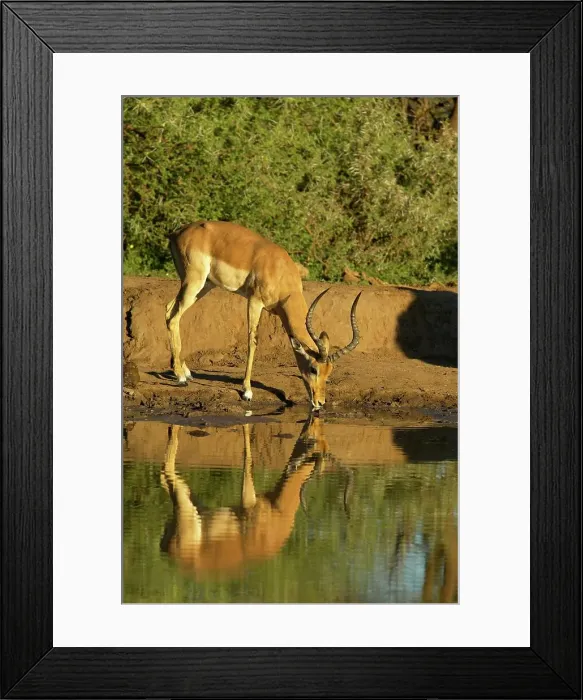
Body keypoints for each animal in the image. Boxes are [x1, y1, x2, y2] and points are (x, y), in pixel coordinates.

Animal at [159, 415, 329, 579]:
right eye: (313, 436)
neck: (279, 513)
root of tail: (167, 549)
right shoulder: (249, 503)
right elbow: (248, 457)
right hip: (188, 510)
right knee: (167, 465)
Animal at [165, 221, 362, 410]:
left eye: (329, 371)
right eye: (314, 369)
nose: (320, 402)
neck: (280, 271)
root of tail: (178, 232)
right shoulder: (254, 302)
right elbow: (253, 342)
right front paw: (247, 391)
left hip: (204, 286)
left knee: (169, 311)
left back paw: (185, 372)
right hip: (194, 282)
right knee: (173, 317)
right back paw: (180, 377)